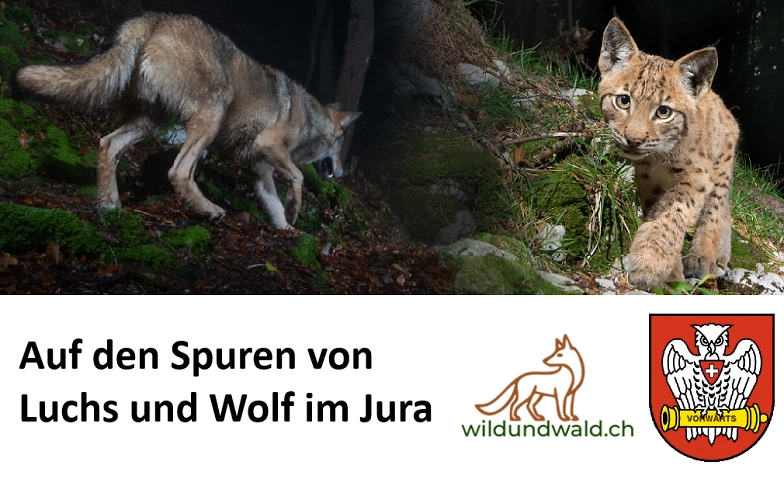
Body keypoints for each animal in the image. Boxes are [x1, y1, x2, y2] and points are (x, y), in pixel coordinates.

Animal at [15, 13, 361, 229]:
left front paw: (288, 229)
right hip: (211, 116)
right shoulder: (269, 147)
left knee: (108, 145)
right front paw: (295, 211)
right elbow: (298, 179)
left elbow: (274, 207)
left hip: (148, 123)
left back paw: (111, 205)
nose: (343, 174)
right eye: (340, 148)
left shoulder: (260, 171)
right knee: (178, 172)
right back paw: (208, 209)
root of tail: (157, 18)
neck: (312, 119)